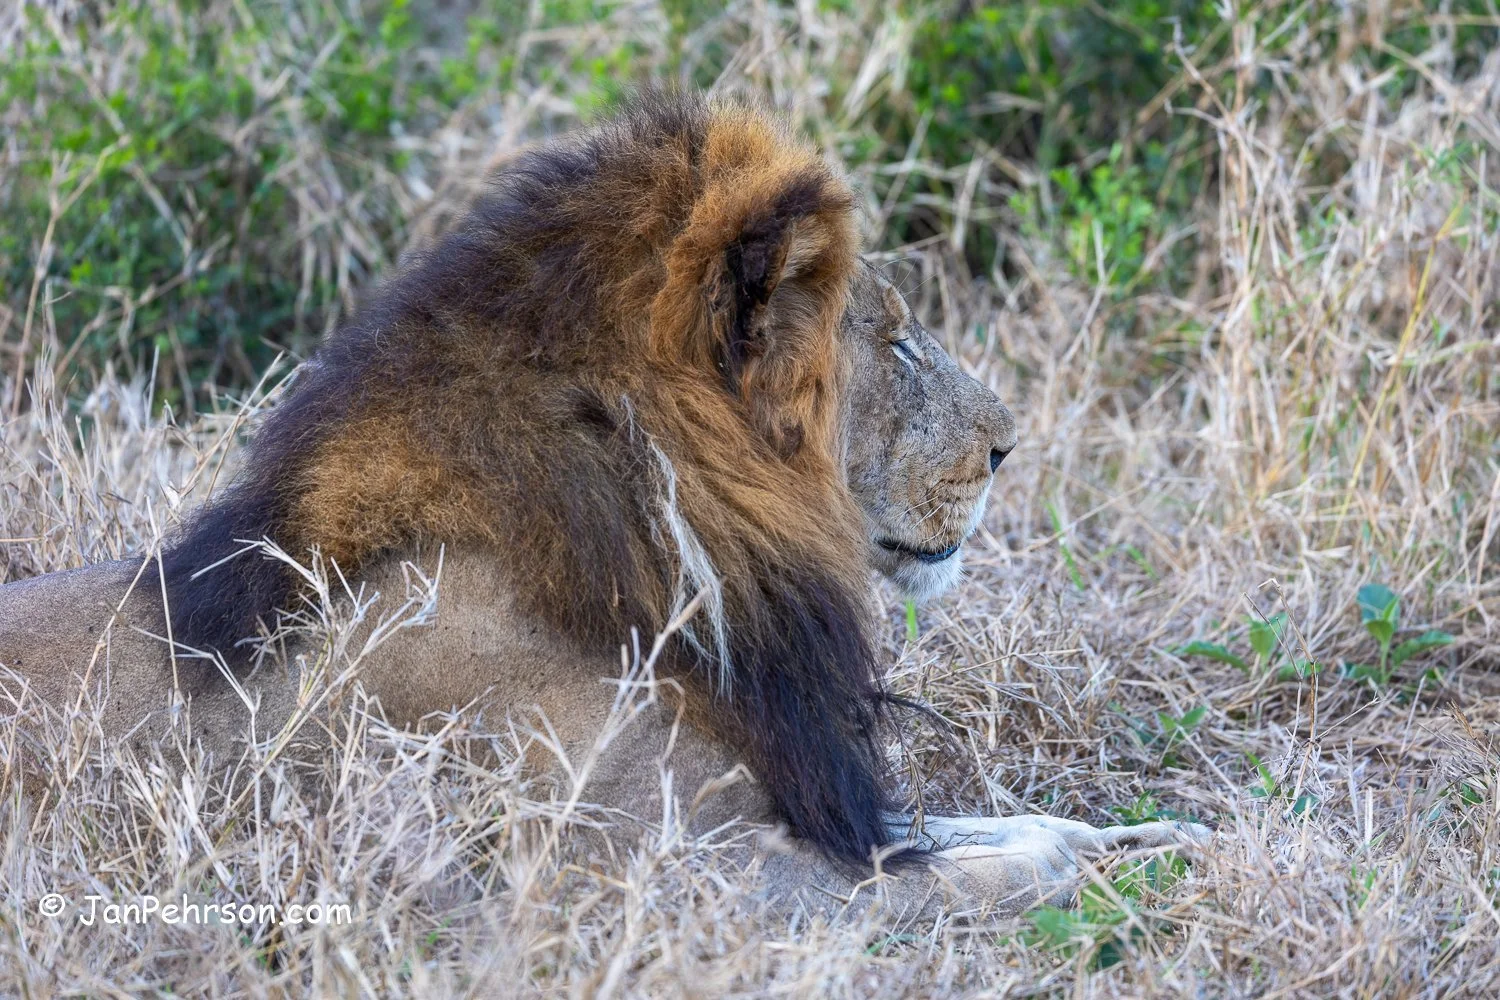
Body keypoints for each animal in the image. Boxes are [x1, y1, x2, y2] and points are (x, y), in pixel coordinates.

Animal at [0, 94, 1202, 919]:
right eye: (897, 341)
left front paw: (1149, 830)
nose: (1008, 445)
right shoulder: (675, 870)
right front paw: (1077, 862)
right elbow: (967, 870)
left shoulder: (798, 792)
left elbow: (978, 823)